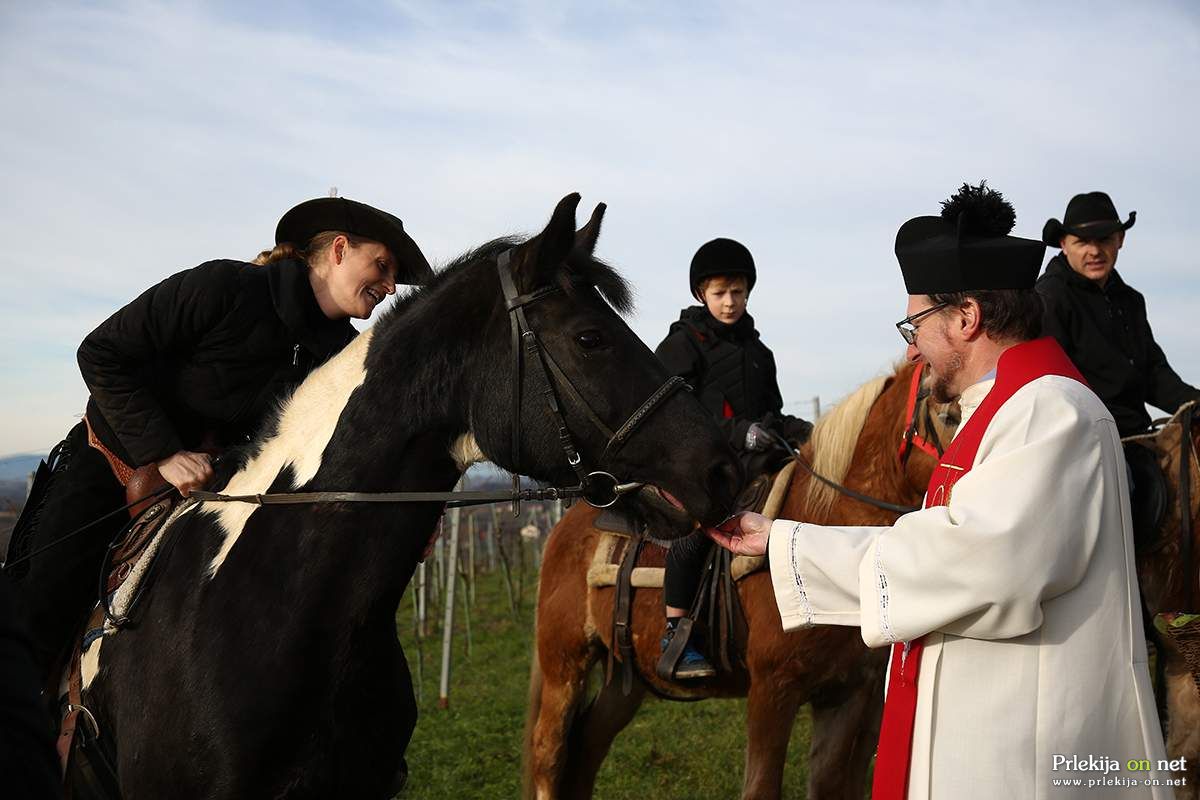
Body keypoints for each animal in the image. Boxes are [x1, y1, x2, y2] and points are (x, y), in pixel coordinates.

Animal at [523, 362, 955, 800]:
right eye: (950, 415)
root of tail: (564, 528)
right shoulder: (772, 691)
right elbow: (762, 787)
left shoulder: (848, 695)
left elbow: (829, 783)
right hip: (565, 664)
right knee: (548, 754)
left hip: (624, 679)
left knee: (587, 748)